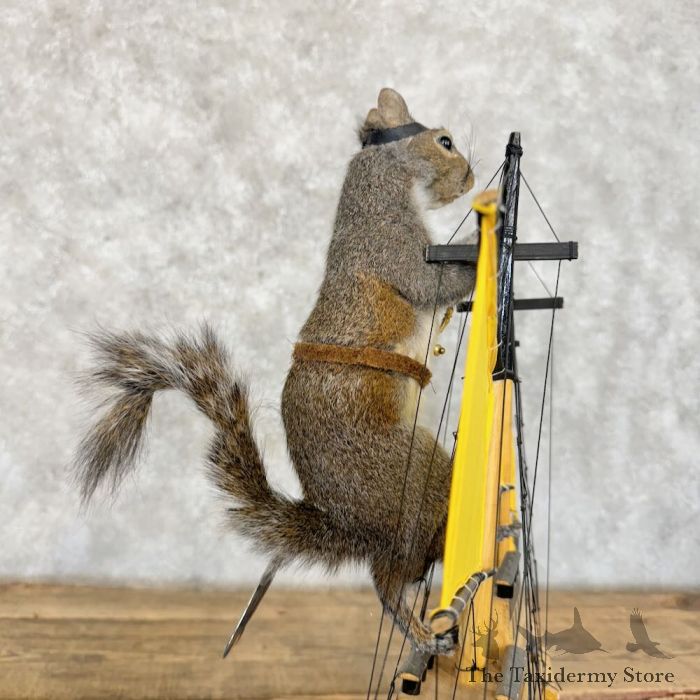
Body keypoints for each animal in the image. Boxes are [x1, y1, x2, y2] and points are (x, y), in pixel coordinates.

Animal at [75, 88, 476, 656]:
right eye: (444, 141)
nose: (470, 177)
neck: (386, 179)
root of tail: (351, 525)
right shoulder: (389, 240)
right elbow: (428, 283)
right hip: (414, 476)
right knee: (389, 577)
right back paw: (423, 627)